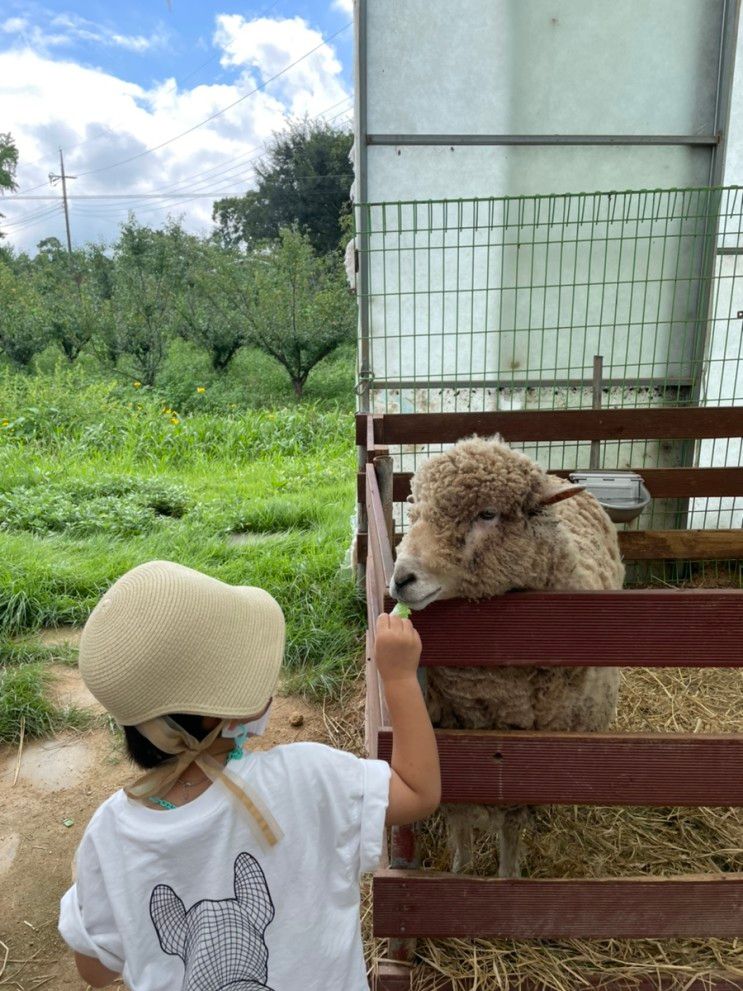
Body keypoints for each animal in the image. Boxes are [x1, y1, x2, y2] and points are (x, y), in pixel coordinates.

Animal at [392, 434, 624, 876]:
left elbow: (512, 829)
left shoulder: (522, 765)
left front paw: (507, 875)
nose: (400, 579)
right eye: (416, 510)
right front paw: (460, 869)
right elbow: (458, 821)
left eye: (487, 514)